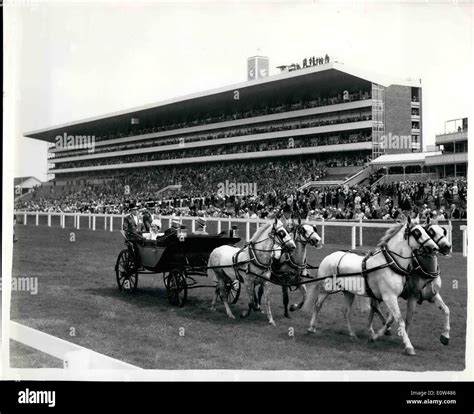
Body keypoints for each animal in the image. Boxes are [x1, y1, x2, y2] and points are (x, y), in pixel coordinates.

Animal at [302, 217, 438, 356]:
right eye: (416, 232)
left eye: (426, 230)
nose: (434, 247)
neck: (390, 263)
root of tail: (329, 257)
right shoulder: (389, 297)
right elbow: (399, 319)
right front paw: (408, 346)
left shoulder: (393, 297)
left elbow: (390, 319)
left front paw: (374, 337)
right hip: (325, 290)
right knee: (317, 305)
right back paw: (311, 328)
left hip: (348, 292)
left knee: (346, 311)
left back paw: (352, 333)